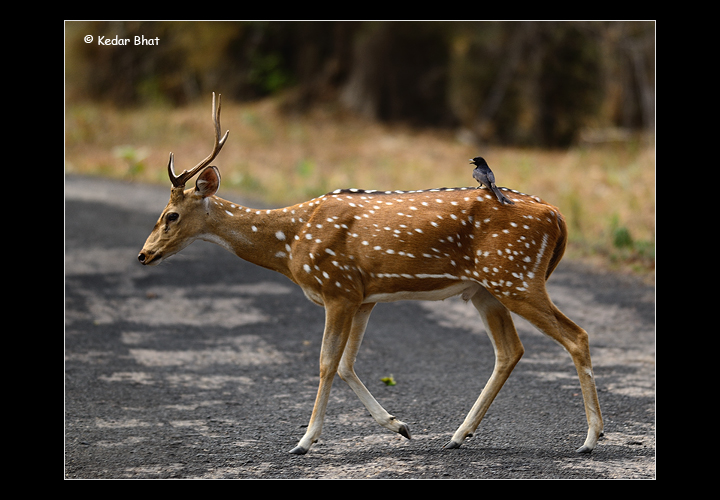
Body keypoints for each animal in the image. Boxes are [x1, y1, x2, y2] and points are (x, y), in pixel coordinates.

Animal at [138, 93, 603, 455]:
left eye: (171, 215)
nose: (143, 255)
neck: (292, 244)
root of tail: (557, 216)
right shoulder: (363, 296)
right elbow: (347, 364)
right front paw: (400, 426)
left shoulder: (337, 289)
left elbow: (326, 362)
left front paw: (304, 442)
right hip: (486, 288)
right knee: (510, 350)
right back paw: (457, 435)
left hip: (516, 275)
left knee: (576, 336)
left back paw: (590, 438)